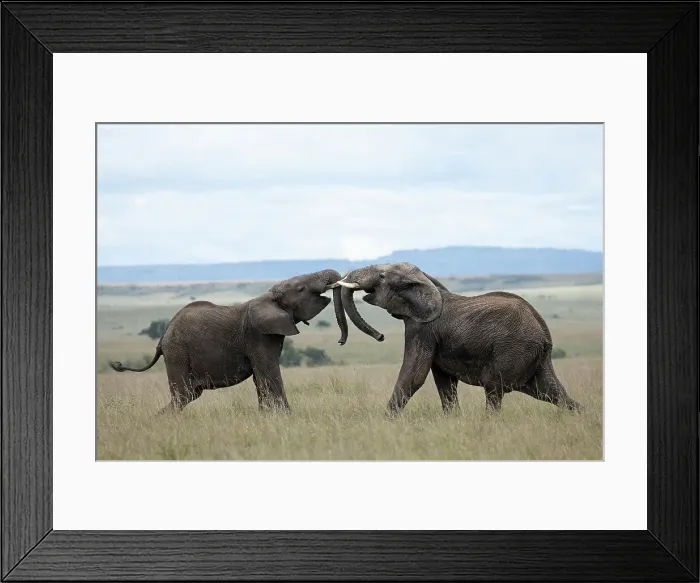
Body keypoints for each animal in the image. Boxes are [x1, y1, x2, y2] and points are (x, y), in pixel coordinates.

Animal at [109, 269, 349, 414]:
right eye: (301, 289)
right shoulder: (257, 336)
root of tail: (161, 339)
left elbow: (261, 379)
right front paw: (286, 417)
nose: (340, 341)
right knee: (183, 396)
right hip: (177, 352)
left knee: (189, 395)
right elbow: (269, 373)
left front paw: (267, 417)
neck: (268, 297)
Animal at [332, 262, 583, 417]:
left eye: (382, 276)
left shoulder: (422, 329)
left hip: (513, 350)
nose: (380, 336)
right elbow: (444, 382)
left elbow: (414, 376)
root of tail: (545, 335)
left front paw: (387, 422)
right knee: (551, 392)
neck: (426, 281)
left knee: (494, 388)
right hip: (533, 359)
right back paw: (582, 415)